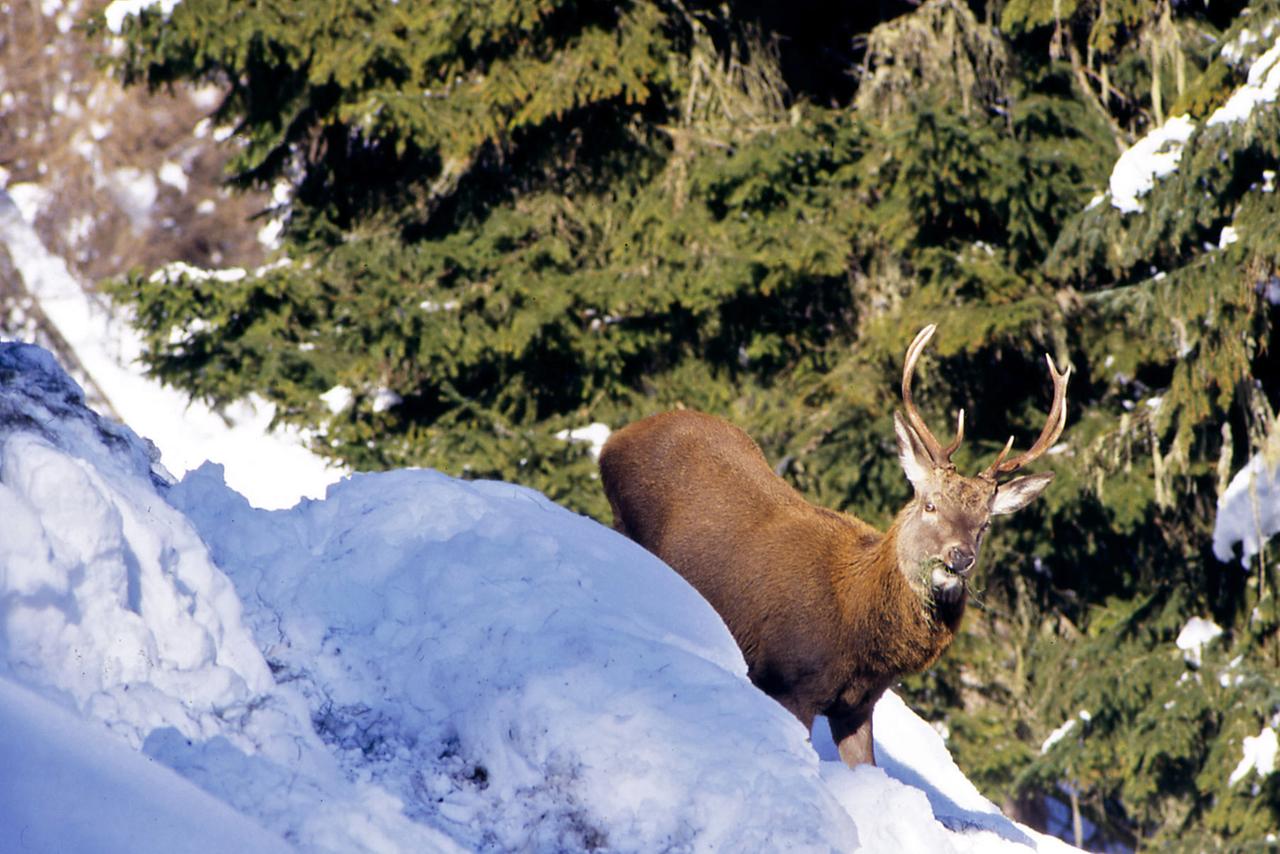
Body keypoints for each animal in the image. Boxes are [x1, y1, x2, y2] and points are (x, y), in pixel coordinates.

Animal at [598, 324, 1069, 767]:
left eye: (985, 525)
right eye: (930, 504)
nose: (960, 557)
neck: (856, 621)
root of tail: (612, 442)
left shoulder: (857, 707)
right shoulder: (789, 680)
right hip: (625, 521)